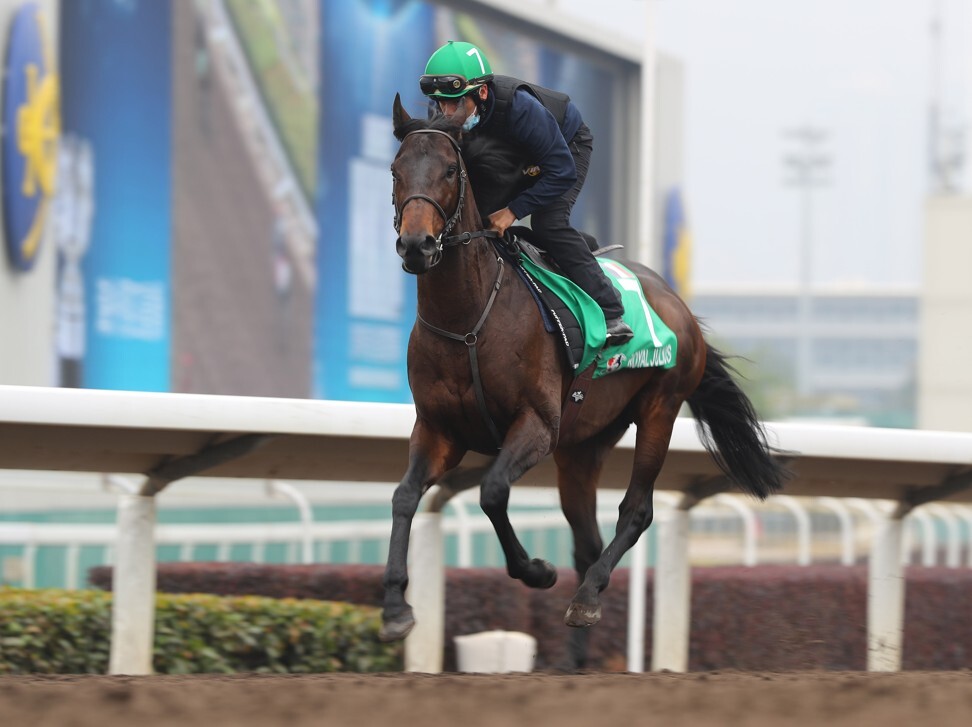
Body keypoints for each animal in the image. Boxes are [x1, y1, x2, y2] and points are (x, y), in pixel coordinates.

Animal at [380, 96, 788, 672]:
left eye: (451, 171)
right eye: (396, 170)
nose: (417, 245)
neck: (467, 323)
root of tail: (675, 301)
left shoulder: (536, 426)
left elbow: (493, 492)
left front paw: (536, 571)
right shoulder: (439, 431)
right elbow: (404, 496)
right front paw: (396, 607)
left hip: (659, 409)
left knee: (635, 512)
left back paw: (586, 597)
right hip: (583, 446)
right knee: (586, 537)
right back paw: (575, 655)